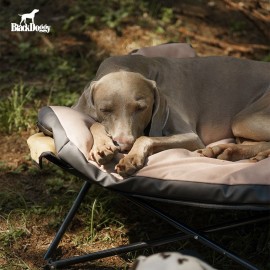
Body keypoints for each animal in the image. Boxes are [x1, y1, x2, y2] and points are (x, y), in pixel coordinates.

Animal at [73, 55, 268, 177]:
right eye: (105, 109)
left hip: (243, 120)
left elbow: (145, 137)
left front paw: (131, 158)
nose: (124, 145)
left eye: (141, 108)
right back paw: (223, 151)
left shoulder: (191, 137)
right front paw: (102, 146)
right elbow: (94, 124)